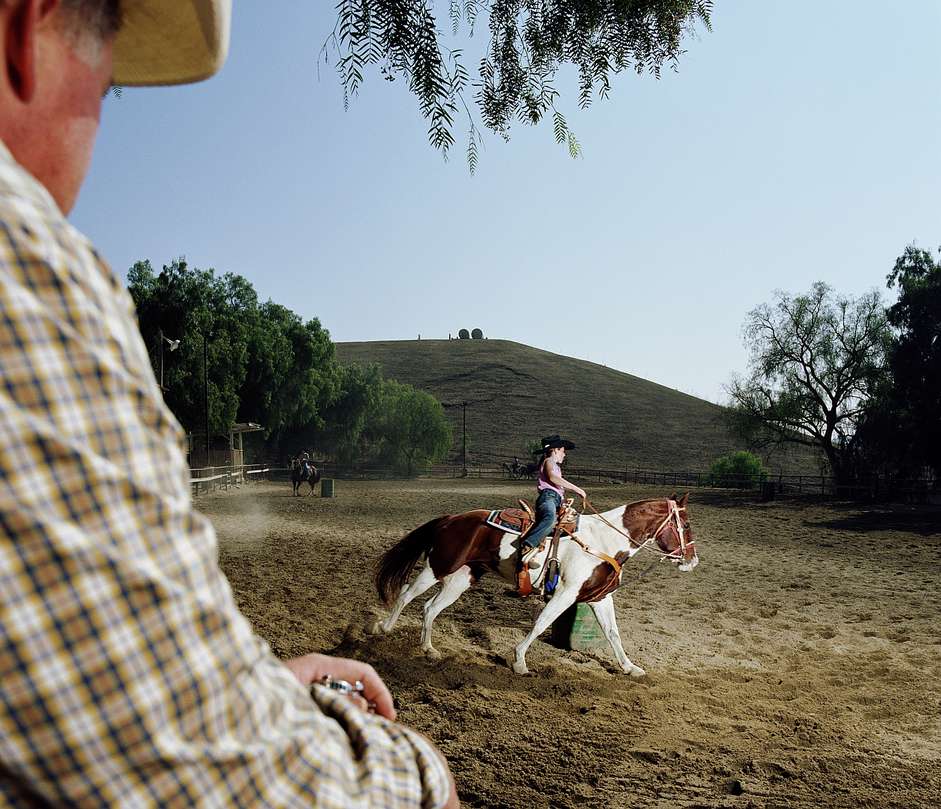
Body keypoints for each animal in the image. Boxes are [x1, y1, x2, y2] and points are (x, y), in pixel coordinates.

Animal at [368, 492, 696, 676]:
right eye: (686, 524)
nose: (692, 561)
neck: (604, 540)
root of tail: (450, 518)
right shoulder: (565, 593)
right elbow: (541, 624)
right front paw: (519, 661)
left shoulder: (599, 598)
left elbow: (613, 634)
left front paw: (630, 668)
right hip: (438, 566)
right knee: (408, 594)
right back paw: (382, 628)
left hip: (461, 578)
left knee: (430, 608)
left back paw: (428, 649)